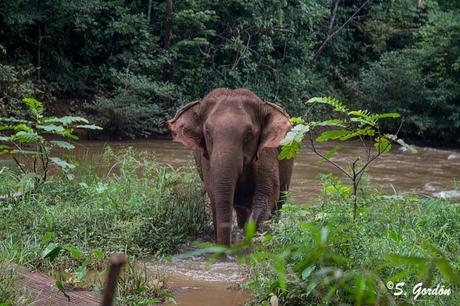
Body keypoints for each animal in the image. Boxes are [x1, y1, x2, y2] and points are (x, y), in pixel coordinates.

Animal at [169, 87, 294, 245]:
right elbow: (214, 194)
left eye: (248, 133)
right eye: (207, 132)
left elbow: (267, 193)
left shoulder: (266, 152)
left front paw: (245, 239)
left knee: (280, 200)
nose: (226, 247)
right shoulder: (207, 159)